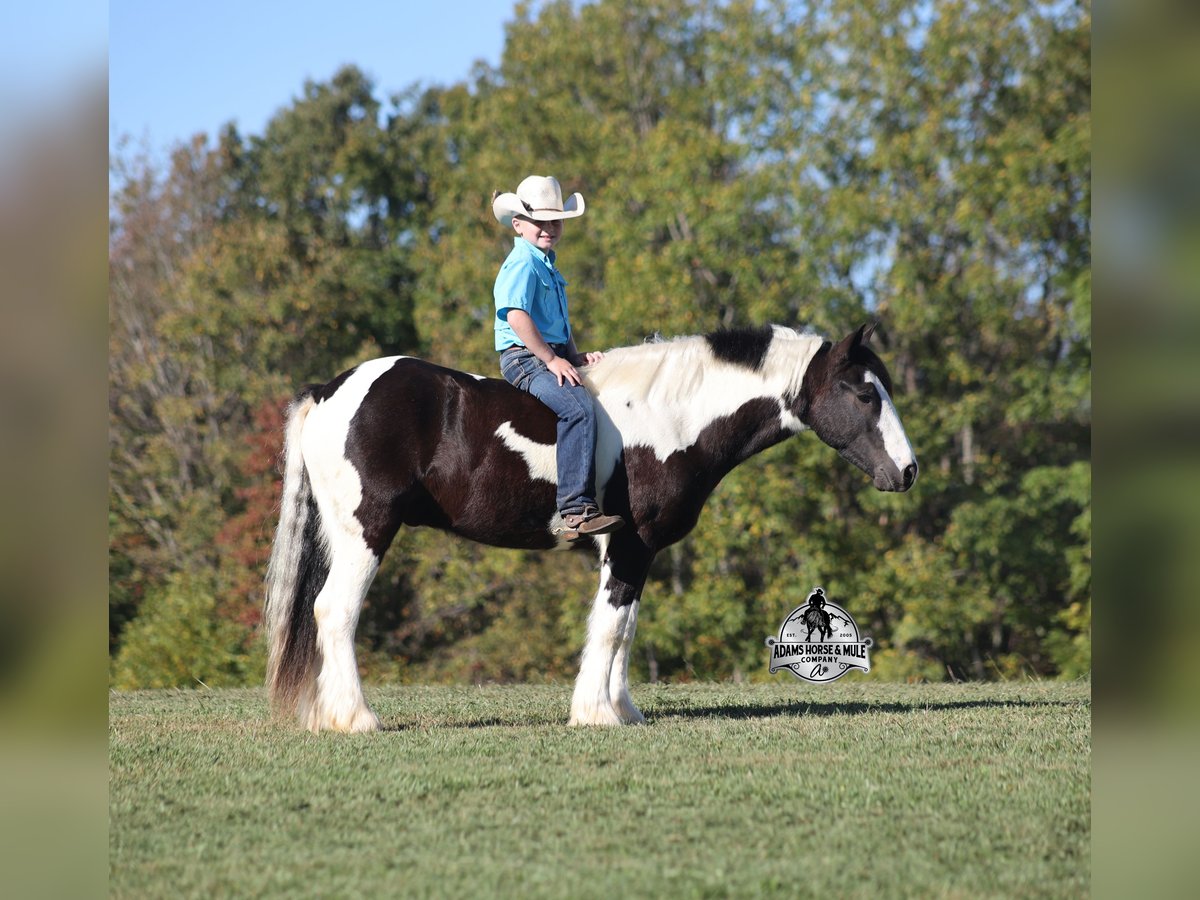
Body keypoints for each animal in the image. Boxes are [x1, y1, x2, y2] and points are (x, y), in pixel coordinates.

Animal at [264, 322, 917, 732]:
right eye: (864, 394)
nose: (908, 471)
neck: (670, 417)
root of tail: (329, 391)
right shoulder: (629, 543)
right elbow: (608, 627)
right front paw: (595, 714)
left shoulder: (637, 550)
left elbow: (625, 629)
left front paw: (622, 709)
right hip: (367, 530)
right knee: (335, 612)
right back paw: (357, 719)